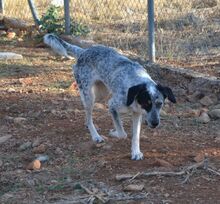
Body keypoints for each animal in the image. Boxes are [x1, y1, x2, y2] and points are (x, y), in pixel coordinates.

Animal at [43, 33, 176, 161]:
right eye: (146, 103)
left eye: (160, 104)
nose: (155, 123)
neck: (136, 81)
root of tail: (83, 51)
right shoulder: (112, 105)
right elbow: (123, 133)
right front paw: (114, 133)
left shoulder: (137, 113)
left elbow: (135, 136)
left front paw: (136, 152)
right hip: (89, 96)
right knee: (89, 115)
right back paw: (96, 136)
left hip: (102, 94)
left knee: (88, 115)